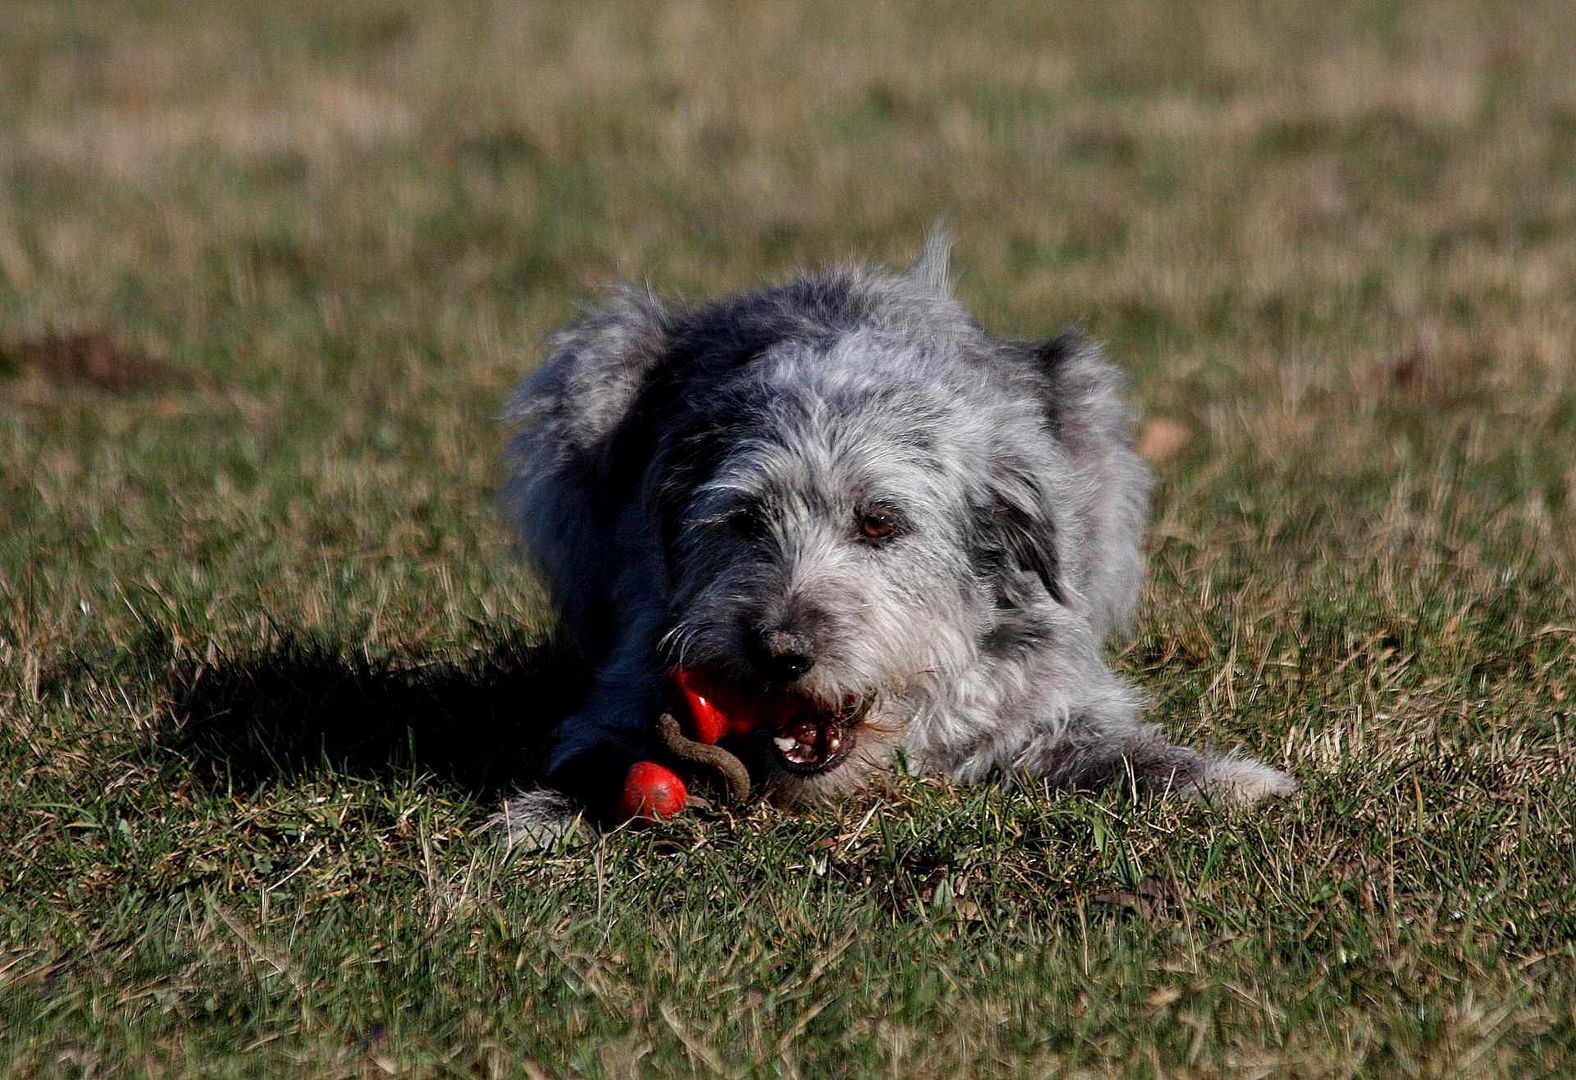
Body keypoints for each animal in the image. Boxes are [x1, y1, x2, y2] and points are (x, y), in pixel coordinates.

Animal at [498, 233, 1298, 845]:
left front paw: (1228, 779)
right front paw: (551, 811)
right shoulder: (633, 677)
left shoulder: (1040, 697)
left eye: (879, 522)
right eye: (747, 519)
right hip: (593, 371)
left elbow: (1117, 749)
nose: (779, 652)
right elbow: (603, 748)